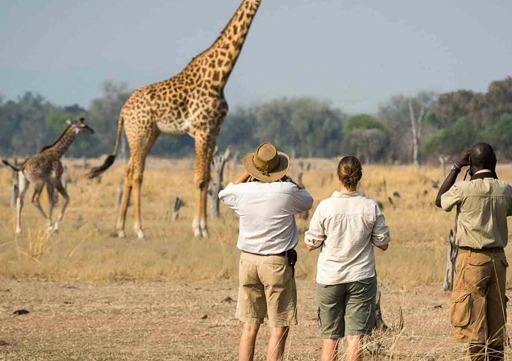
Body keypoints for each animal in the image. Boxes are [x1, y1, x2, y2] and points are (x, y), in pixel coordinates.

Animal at [88, 0, 262, 239]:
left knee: (128, 172)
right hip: (140, 135)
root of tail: (123, 112)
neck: (219, 77)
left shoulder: (214, 131)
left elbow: (208, 177)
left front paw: (205, 227)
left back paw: (121, 228)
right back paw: (139, 229)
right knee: (137, 175)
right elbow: (199, 178)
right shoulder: (201, 130)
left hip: (148, 136)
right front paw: (199, 229)